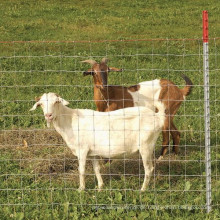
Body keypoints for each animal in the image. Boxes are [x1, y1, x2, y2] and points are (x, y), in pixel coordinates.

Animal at [30, 92, 166, 191]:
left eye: (56, 102)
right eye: (41, 104)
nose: (48, 115)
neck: (70, 120)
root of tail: (158, 117)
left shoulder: (82, 150)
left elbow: (81, 170)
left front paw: (81, 189)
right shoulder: (93, 152)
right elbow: (96, 169)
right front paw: (100, 187)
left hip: (145, 146)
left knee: (149, 169)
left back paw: (142, 190)